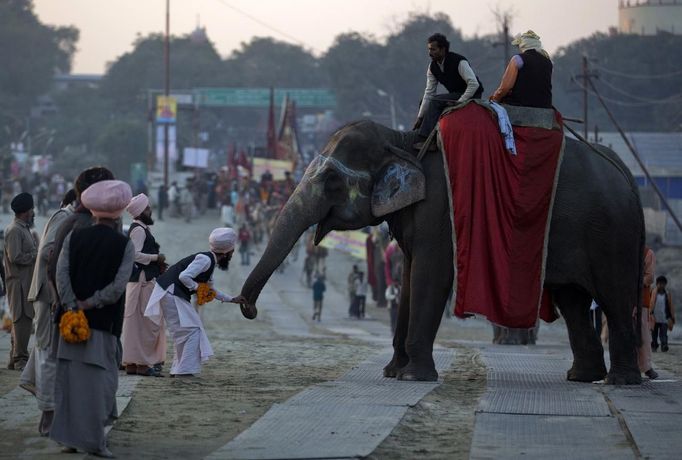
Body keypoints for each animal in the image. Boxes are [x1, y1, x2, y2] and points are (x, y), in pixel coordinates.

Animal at [239, 117, 644, 384]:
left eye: (332, 180)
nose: (249, 307)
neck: (402, 140)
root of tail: (626, 175)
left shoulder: (439, 210)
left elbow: (430, 273)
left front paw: (413, 376)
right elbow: (408, 276)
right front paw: (392, 372)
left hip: (612, 234)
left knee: (613, 297)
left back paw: (620, 381)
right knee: (572, 300)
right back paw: (581, 376)